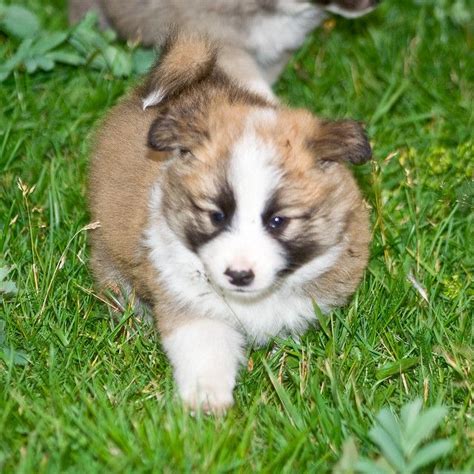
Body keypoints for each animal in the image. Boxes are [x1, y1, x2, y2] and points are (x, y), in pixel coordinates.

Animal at [88, 33, 370, 412]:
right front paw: (207, 400)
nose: (238, 275)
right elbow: (205, 349)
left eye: (278, 221)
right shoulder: (190, 302)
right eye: (216, 216)